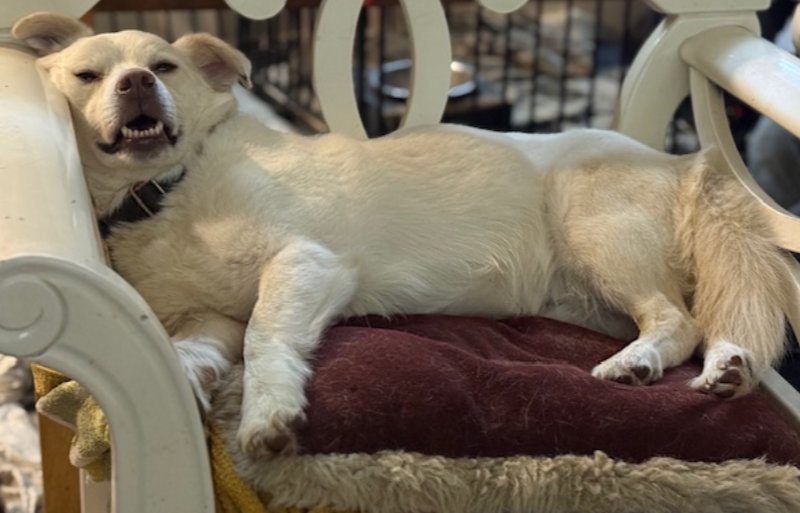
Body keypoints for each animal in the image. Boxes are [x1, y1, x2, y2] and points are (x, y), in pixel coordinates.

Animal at [13, 12, 795, 458]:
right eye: (87, 74)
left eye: (165, 66)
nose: (138, 83)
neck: (164, 193)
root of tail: (680, 161)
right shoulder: (212, 318)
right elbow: (191, 349)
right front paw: (179, 382)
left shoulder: (308, 263)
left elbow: (268, 337)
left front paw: (269, 415)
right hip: (581, 297)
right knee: (702, 320)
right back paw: (728, 366)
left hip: (594, 229)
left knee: (680, 318)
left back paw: (644, 363)